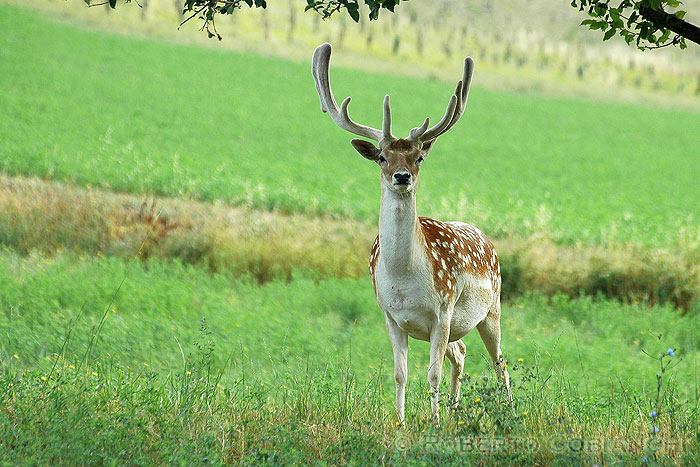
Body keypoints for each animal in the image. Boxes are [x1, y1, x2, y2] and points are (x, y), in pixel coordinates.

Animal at [314, 43, 512, 424]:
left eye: (418, 157)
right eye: (381, 156)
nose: (402, 176)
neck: (405, 279)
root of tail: (486, 239)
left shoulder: (442, 311)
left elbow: (431, 373)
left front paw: (432, 423)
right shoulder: (391, 315)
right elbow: (400, 373)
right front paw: (401, 422)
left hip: (491, 309)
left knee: (500, 364)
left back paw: (505, 412)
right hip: (460, 325)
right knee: (461, 353)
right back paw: (453, 410)